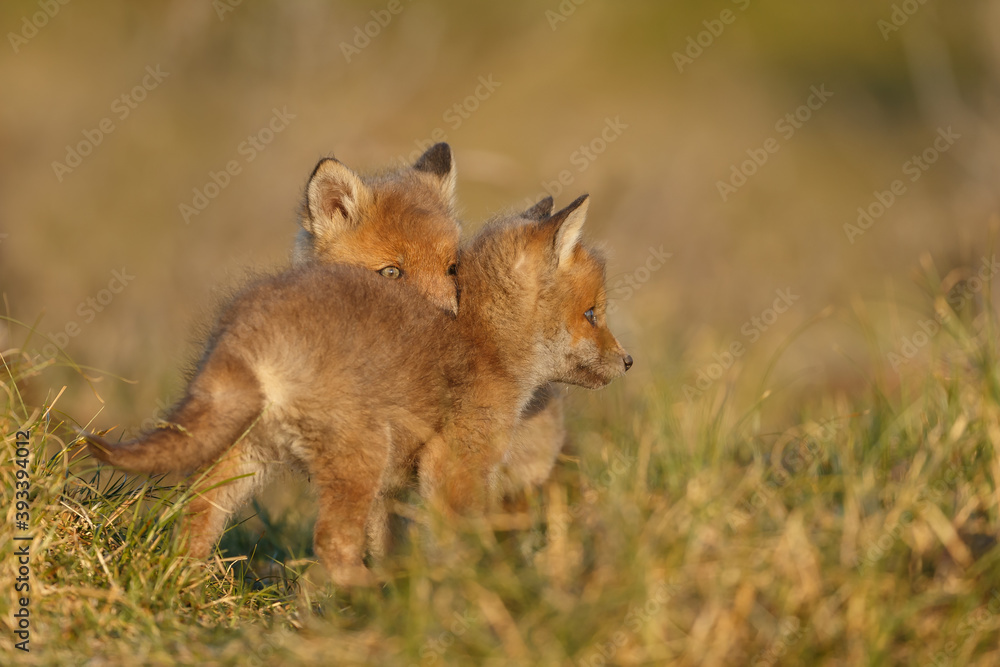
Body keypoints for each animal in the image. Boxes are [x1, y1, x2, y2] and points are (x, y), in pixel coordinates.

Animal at [85, 194, 631, 587]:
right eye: (592, 314)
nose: (628, 361)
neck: (485, 339)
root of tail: (253, 327)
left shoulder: (391, 490)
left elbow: (390, 545)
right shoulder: (455, 462)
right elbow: (459, 537)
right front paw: (472, 588)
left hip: (244, 458)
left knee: (196, 520)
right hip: (361, 455)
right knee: (330, 543)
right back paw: (367, 596)